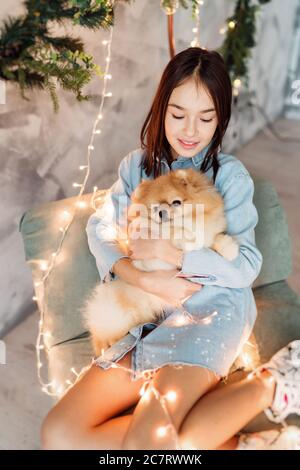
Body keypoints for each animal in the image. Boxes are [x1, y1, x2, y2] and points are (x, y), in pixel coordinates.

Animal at [82, 167, 239, 354]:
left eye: (176, 202)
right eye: (155, 207)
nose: (161, 212)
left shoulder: (208, 234)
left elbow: (215, 240)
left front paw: (229, 248)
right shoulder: (144, 258)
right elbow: (169, 235)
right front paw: (183, 239)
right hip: (119, 314)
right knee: (101, 335)